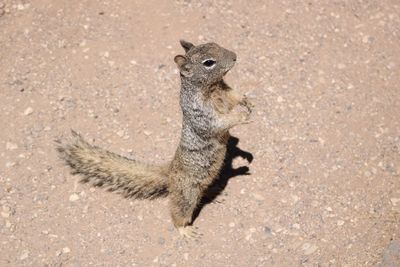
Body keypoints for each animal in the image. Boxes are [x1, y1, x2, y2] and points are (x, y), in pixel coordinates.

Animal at [56, 40, 253, 239]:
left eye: (216, 44)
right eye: (208, 63)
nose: (235, 56)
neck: (211, 88)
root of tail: (170, 172)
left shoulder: (225, 91)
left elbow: (234, 95)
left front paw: (247, 101)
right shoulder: (202, 116)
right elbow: (220, 123)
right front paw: (242, 116)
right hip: (186, 192)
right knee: (178, 211)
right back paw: (184, 229)